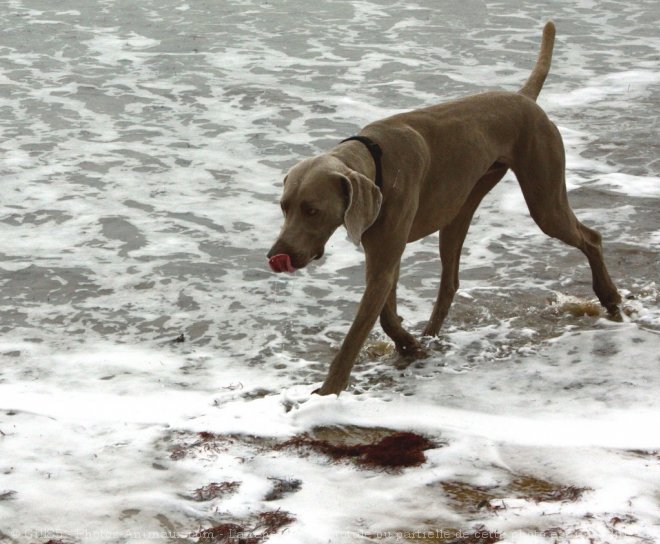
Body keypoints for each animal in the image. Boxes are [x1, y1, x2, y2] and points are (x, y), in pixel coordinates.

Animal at [266, 22, 620, 396]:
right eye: (284, 207)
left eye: (312, 210)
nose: (275, 255)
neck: (377, 164)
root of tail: (524, 97)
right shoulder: (384, 251)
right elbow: (386, 313)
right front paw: (409, 345)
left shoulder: (385, 255)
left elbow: (364, 326)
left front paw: (329, 390)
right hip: (461, 208)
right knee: (450, 280)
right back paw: (431, 337)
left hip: (544, 198)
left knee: (590, 237)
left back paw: (609, 297)